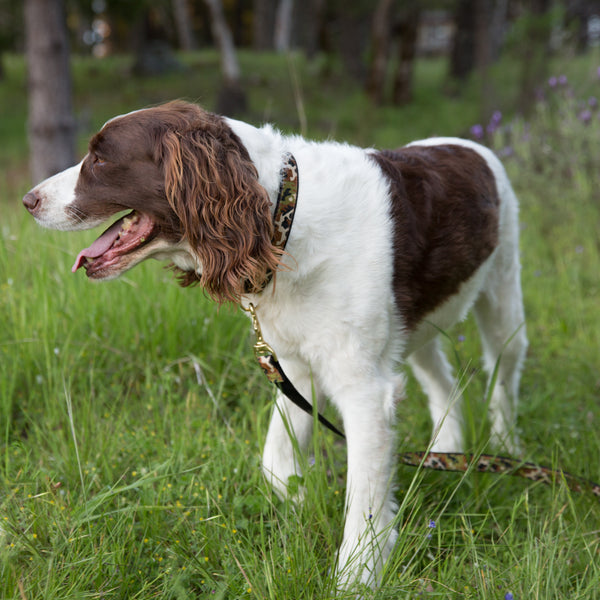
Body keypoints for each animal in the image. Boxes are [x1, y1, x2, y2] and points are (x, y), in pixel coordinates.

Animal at [23, 101, 528, 588]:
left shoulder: (364, 389)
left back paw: (507, 449)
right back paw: (447, 451)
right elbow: (275, 462)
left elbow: (363, 501)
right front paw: (303, 503)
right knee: (442, 380)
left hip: (503, 301)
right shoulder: (293, 365)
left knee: (502, 378)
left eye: (101, 158)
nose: (28, 201)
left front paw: (357, 578)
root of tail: (471, 144)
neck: (282, 218)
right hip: (416, 326)